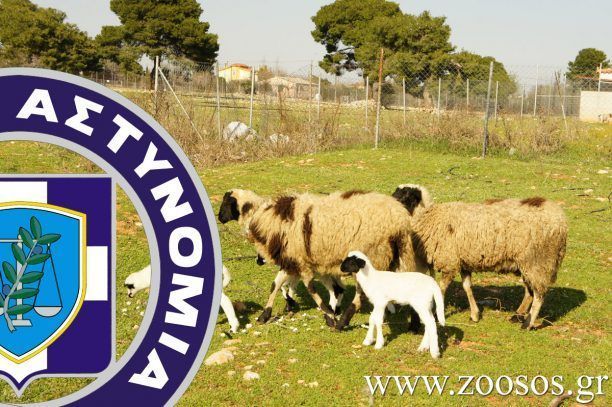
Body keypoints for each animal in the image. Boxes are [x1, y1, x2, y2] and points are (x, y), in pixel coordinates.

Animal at [220, 189, 419, 329]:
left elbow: (310, 289)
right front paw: (265, 315)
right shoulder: (291, 259)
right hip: (400, 254)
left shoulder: (300, 262)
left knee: (361, 293)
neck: (263, 216)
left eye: (226, 203)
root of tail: (399, 220)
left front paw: (330, 316)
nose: (220, 218)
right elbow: (275, 285)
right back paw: (414, 323)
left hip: (373, 254)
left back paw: (342, 322)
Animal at [394, 186, 568, 330]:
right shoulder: (462, 262)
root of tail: (561, 221)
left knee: (539, 295)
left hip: (537, 260)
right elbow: (467, 287)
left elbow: (441, 289)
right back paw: (518, 315)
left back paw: (527, 324)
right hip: (526, 263)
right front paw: (475, 315)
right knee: (529, 291)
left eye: (406, 197)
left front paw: (435, 314)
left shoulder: (449, 261)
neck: (429, 216)